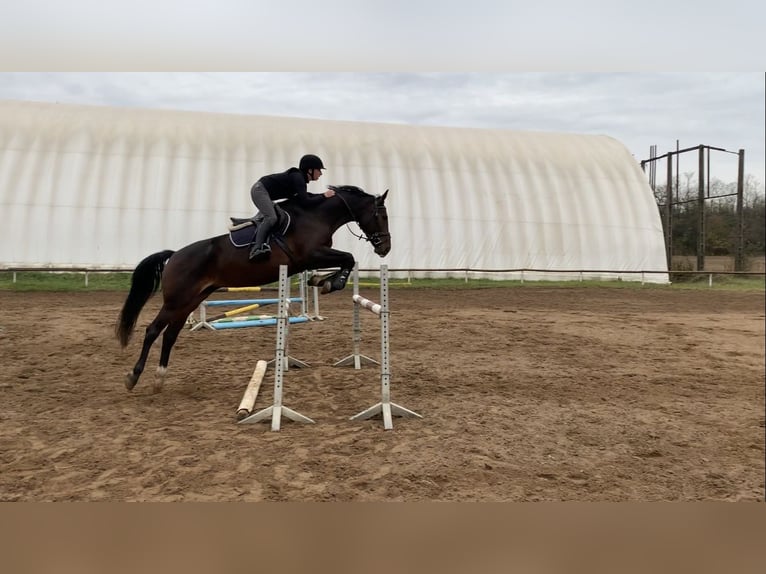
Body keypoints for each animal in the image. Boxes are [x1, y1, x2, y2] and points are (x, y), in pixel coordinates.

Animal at [115, 184, 390, 392]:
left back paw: (160, 377)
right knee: (152, 331)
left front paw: (322, 281)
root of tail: (174, 256)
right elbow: (348, 258)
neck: (315, 216)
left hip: (190, 300)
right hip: (176, 301)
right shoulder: (311, 255)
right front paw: (331, 283)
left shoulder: (311, 259)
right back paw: (132, 377)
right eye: (382, 216)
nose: (385, 248)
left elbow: (345, 260)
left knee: (170, 334)